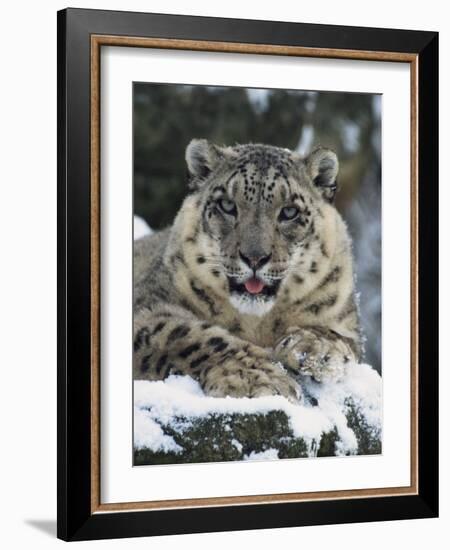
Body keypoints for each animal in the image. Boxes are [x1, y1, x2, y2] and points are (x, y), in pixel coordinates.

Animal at [134, 140, 362, 404]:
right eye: (227, 205)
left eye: (290, 212)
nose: (255, 257)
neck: (257, 324)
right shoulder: (147, 308)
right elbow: (189, 335)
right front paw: (258, 378)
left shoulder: (345, 320)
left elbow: (340, 337)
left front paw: (314, 349)